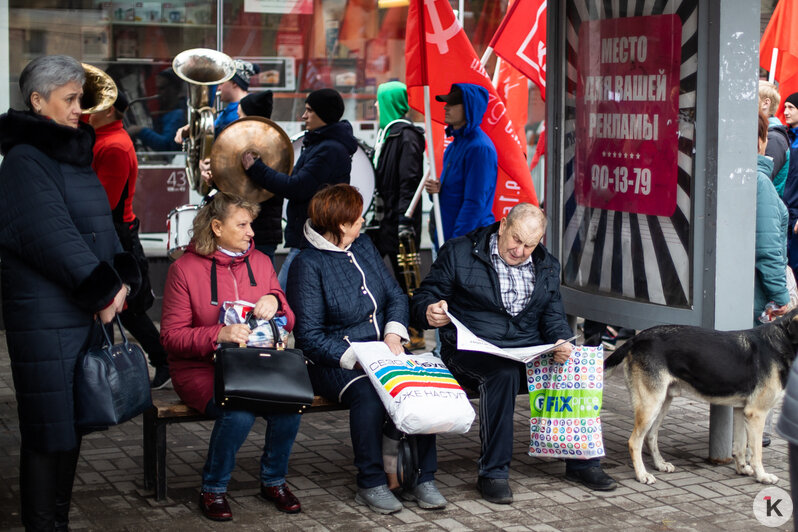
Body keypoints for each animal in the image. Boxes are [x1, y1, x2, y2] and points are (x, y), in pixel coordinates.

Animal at [608, 310, 798, 484]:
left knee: (650, 436)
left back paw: (660, 464)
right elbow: (756, 452)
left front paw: (742, 469)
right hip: (651, 405)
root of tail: (638, 337)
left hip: (663, 402)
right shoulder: (756, 414)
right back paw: (642, 475)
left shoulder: (741, 410)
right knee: (634, 442)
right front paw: (762, 476)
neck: (782, 341)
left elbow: (740, 447)